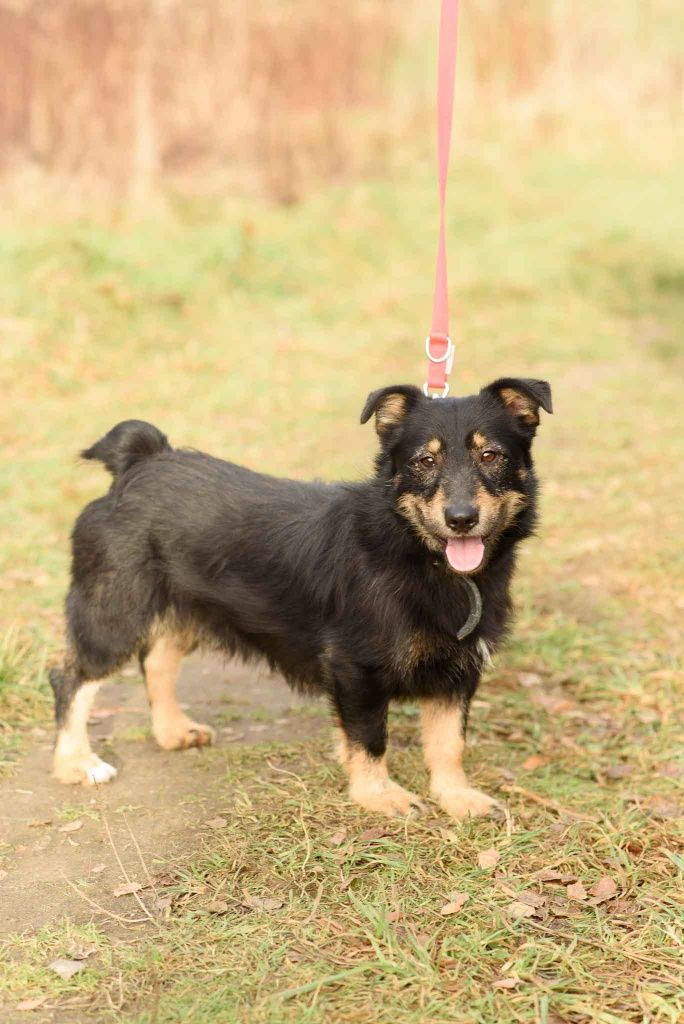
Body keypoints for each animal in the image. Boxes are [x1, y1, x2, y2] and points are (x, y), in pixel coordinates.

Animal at [49, 380, 548, 819]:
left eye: (491, 456)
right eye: (425, 460)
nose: (461, 518)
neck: (419, 553)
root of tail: (137, 463)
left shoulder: (459, 671)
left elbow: (449, 743)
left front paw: (457, 797)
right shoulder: (356, 667)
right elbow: (371, 738)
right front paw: (378, 795)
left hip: (187, 606)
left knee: (156, 659)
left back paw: (172, 731)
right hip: (113, 611)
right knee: (70, 678)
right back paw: (76, 763)